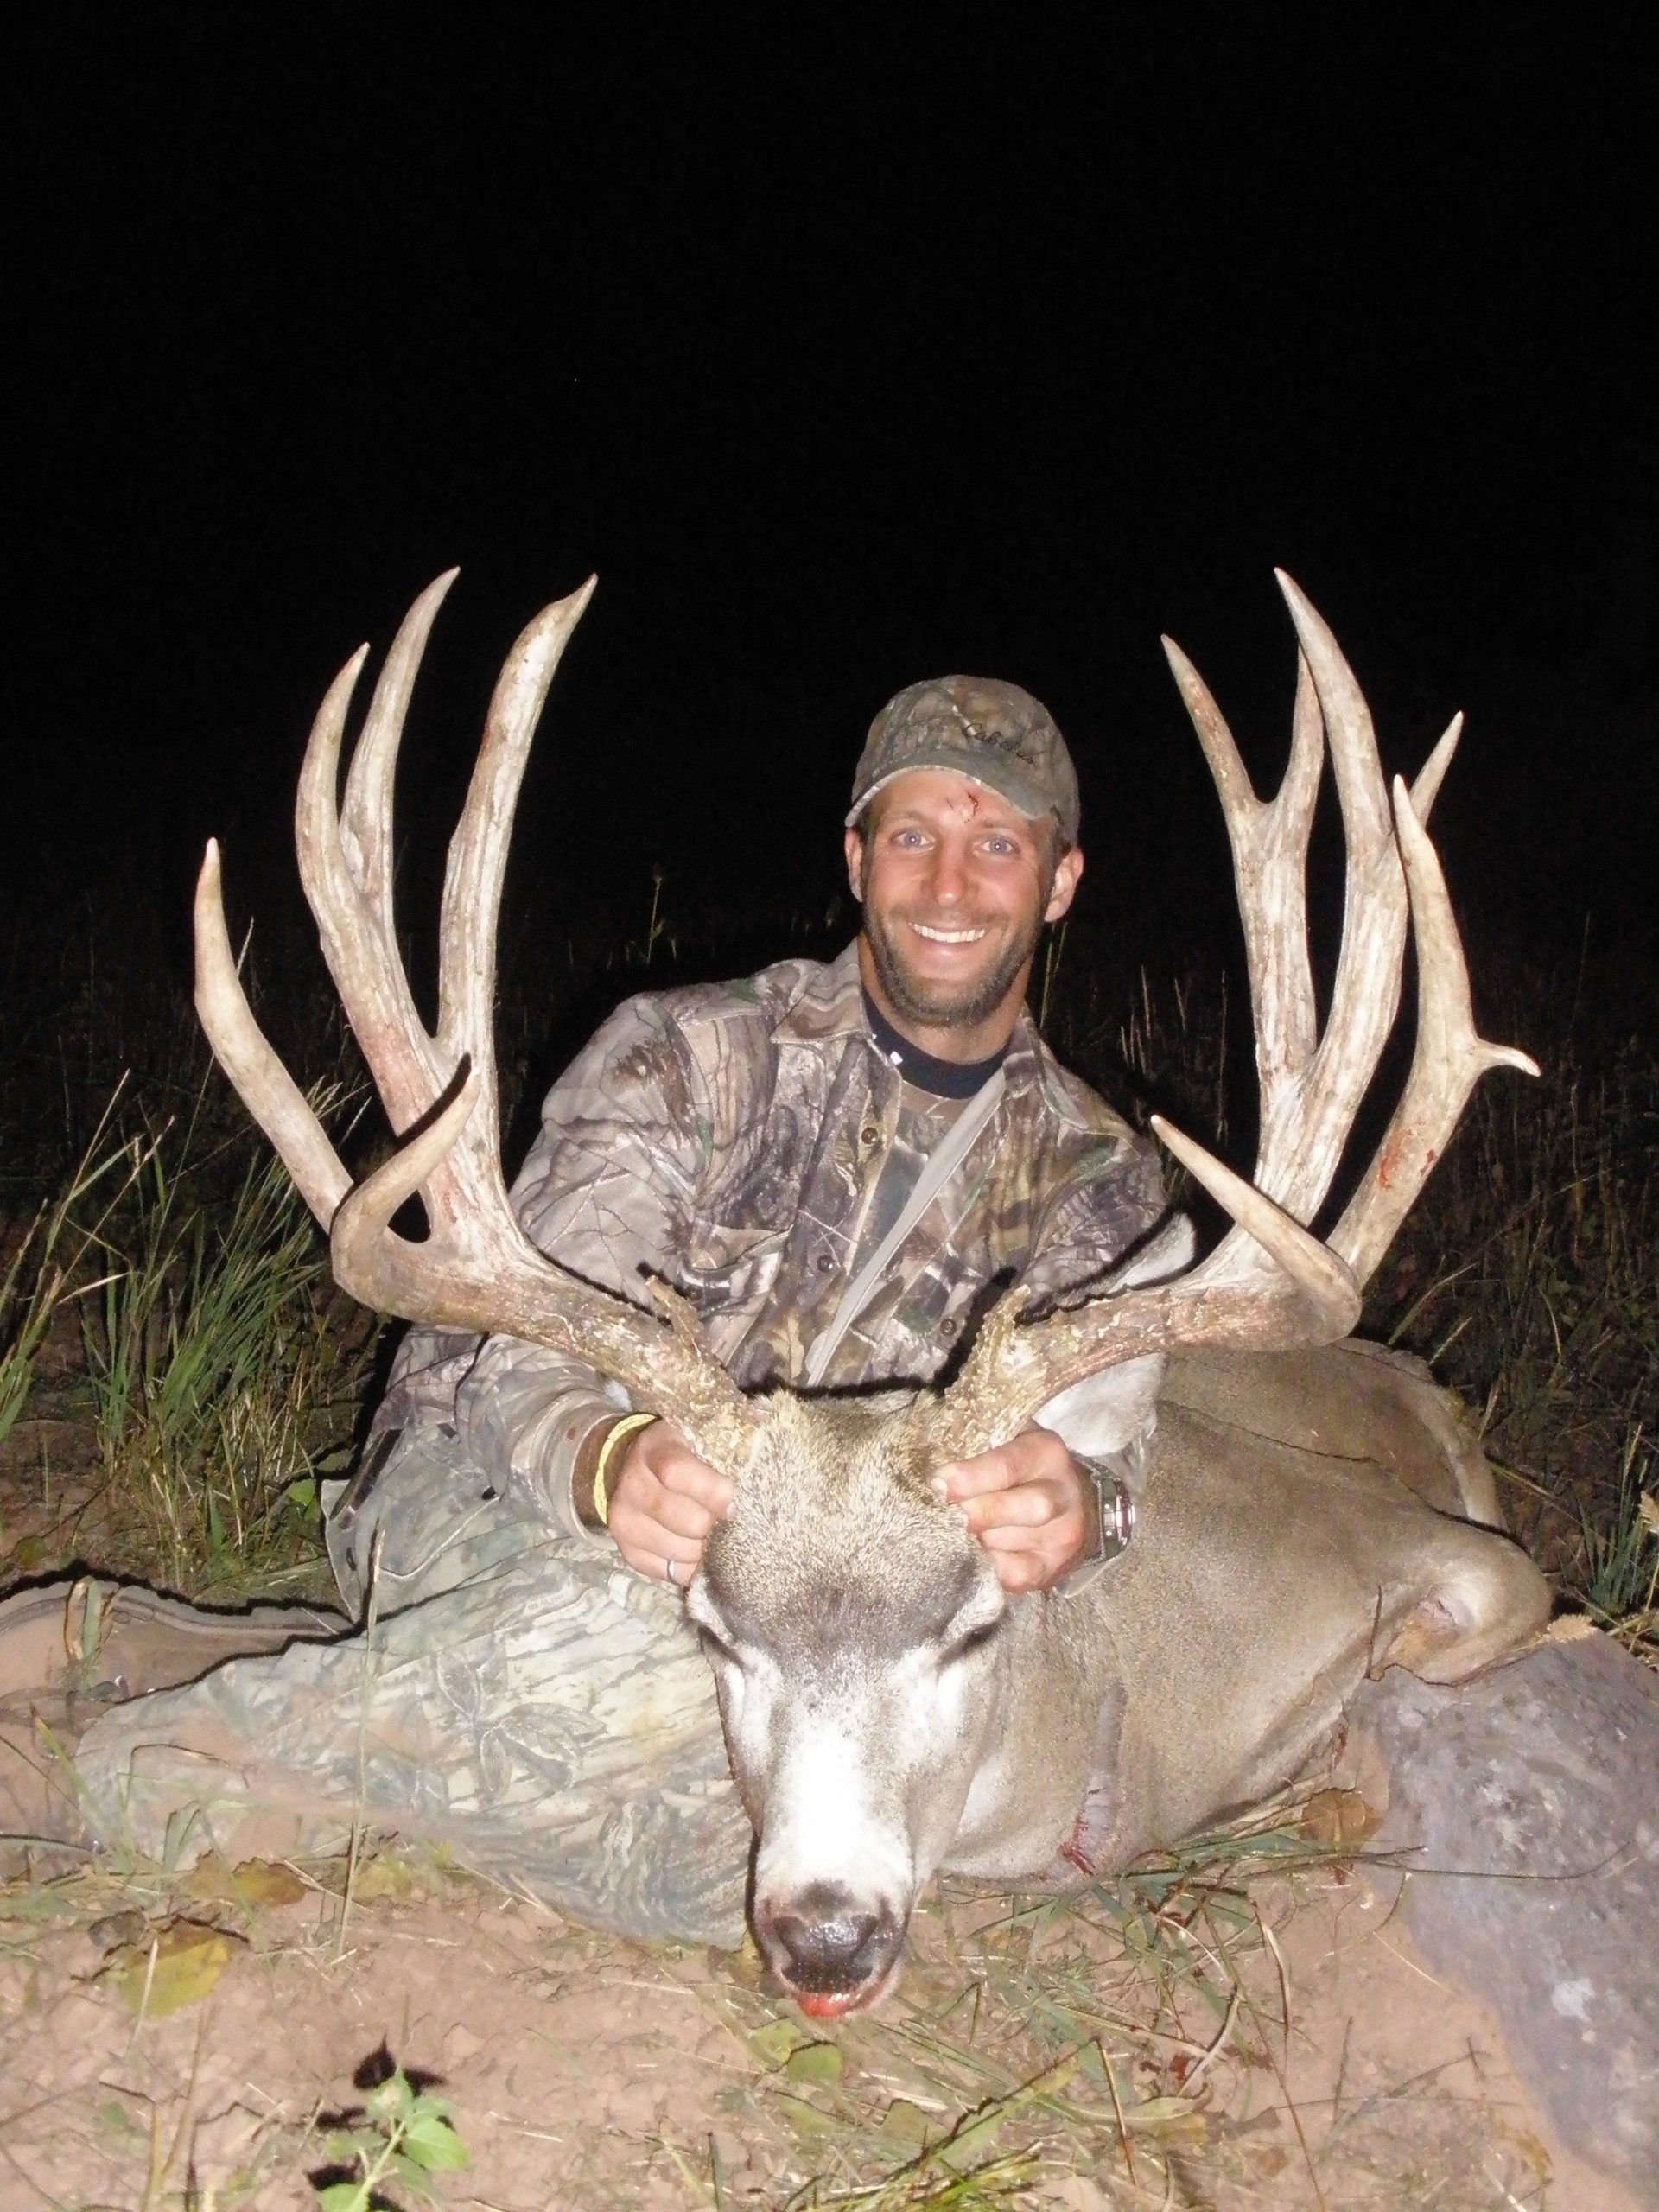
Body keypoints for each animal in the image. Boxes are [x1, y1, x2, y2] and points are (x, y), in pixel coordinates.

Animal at [193, 568, 1552, 2019]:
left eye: (969, 1626)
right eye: (718, 1631)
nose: (826, 1936)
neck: (1110, 1705)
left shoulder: (1418, 1539)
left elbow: (1481, 1619)